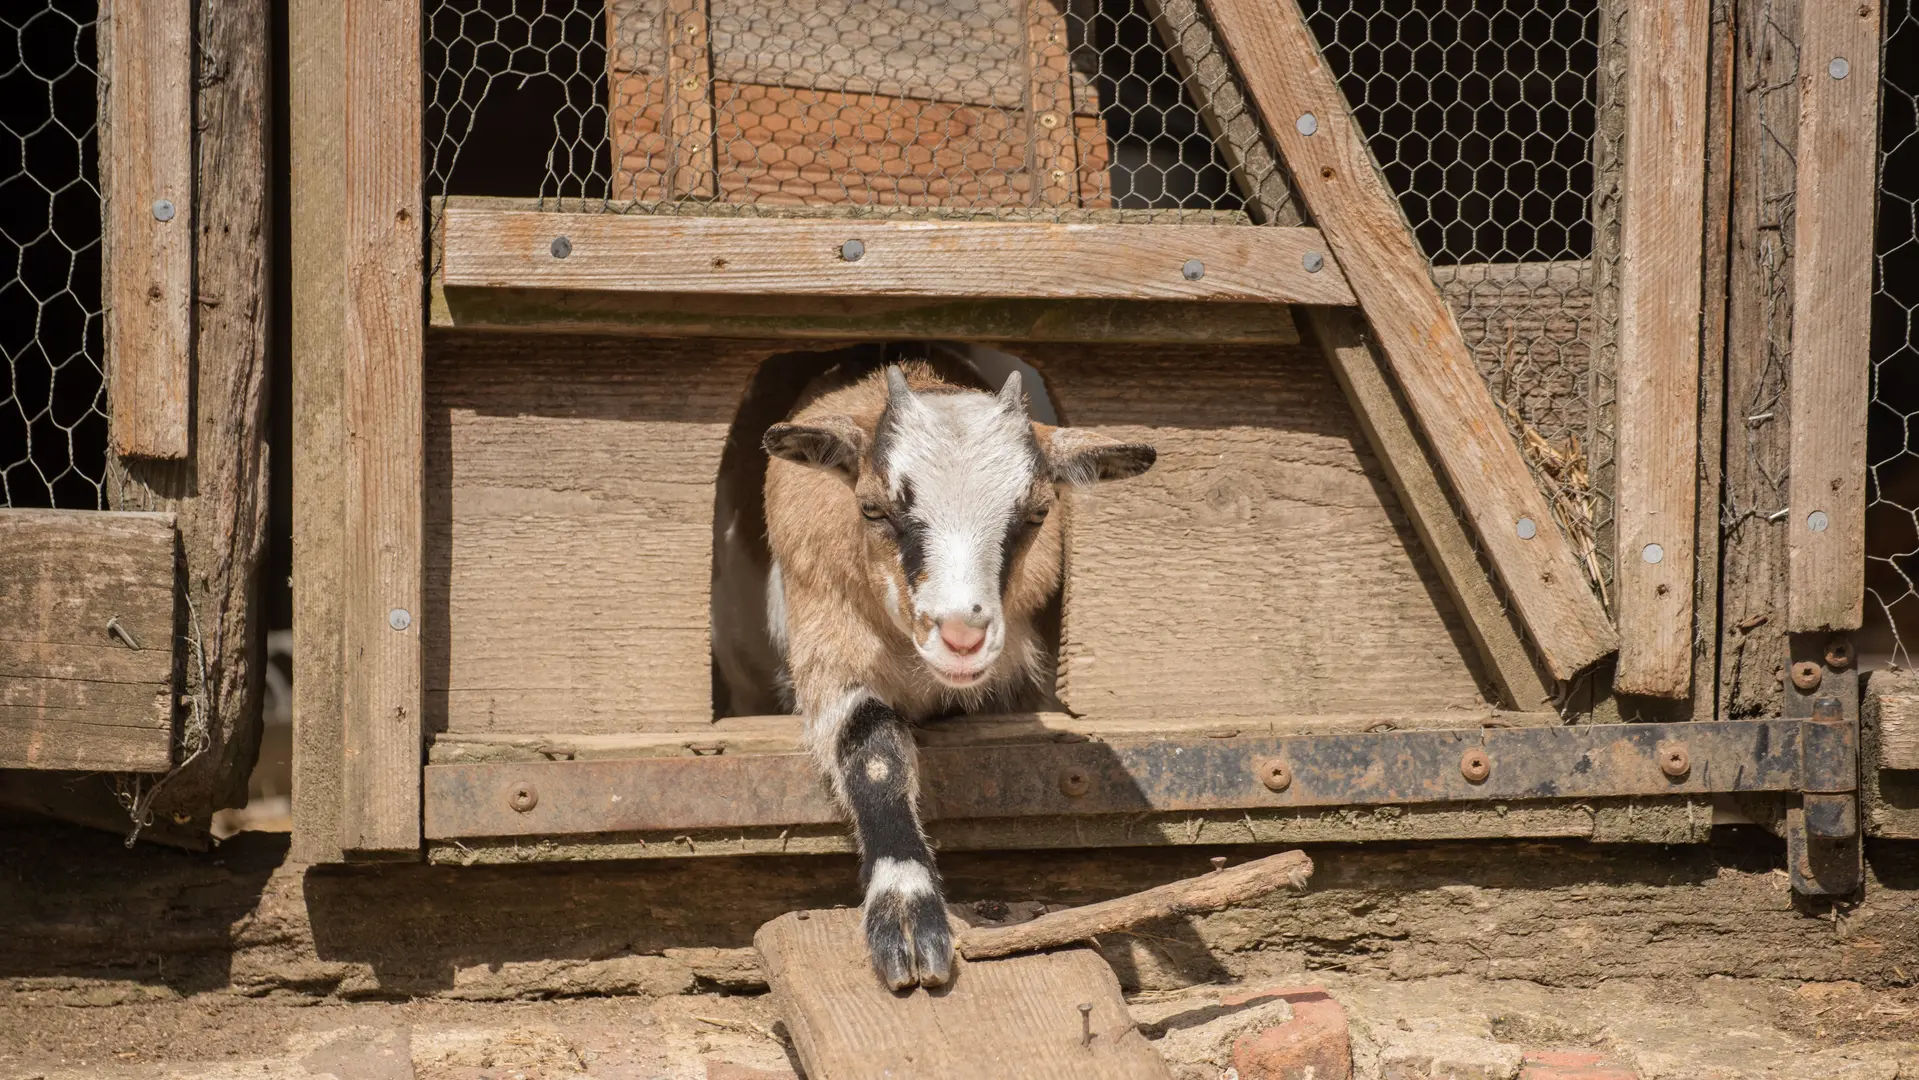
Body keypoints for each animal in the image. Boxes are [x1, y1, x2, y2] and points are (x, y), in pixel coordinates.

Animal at [759, 362, 1151, 989]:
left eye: (1037, 513)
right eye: (872, 509)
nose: (961, 635)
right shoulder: (826, 651)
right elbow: (873, 753)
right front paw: (906, 917)